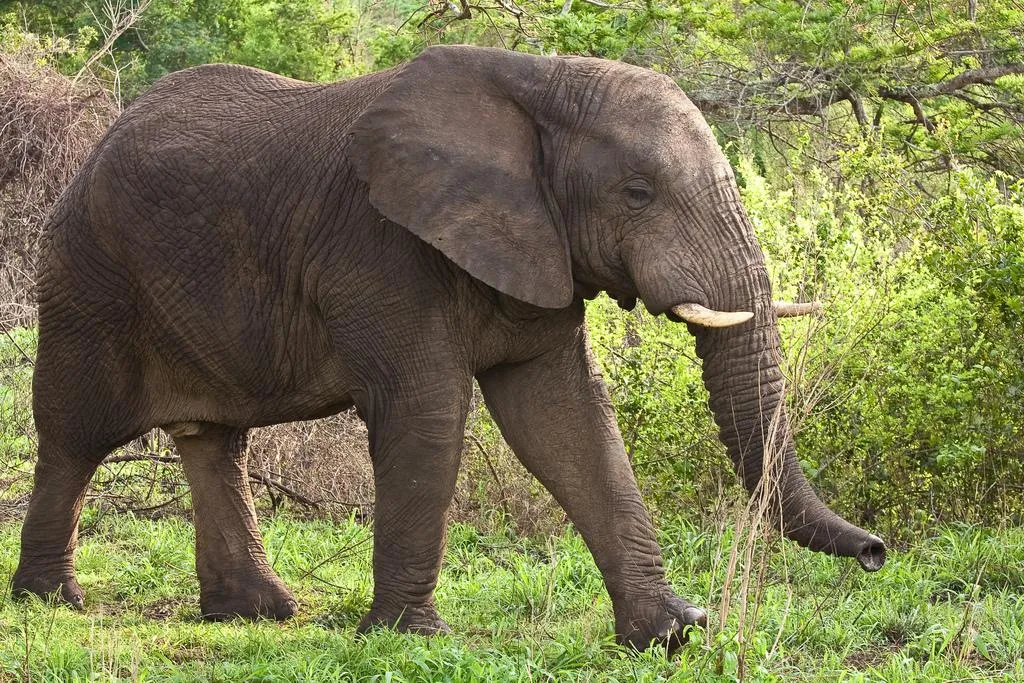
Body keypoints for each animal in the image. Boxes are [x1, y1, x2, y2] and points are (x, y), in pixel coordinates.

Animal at [12, 45, 885, 651]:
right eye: (638, 194)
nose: (877, 553)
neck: (539, 83)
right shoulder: (382, 249)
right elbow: (428, 413)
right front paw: (409, 638)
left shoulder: (539, 249)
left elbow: (566, 419)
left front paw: (669, 633)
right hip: (87, 280)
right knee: (74, 433)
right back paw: (50, 600)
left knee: (213, 439)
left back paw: (256, 612)